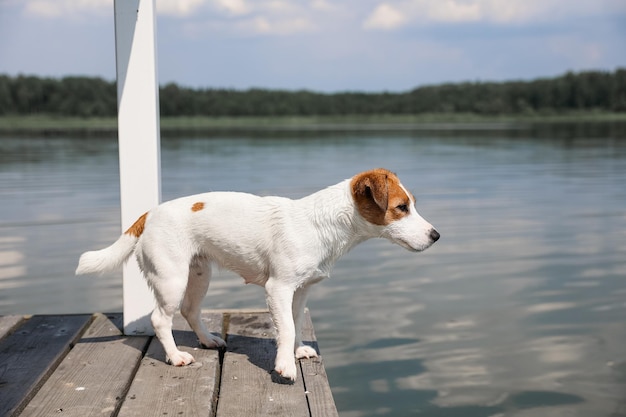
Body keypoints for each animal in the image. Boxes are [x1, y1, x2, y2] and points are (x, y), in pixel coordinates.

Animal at [77, 168, 438, 380]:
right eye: (402, 208)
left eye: (411, 205)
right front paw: (285, 365)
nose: (436, 236)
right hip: (171, 279)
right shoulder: (279, 288)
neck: (324, 225)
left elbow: (294, 324)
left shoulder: (301, 290)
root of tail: (148, 214)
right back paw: (176, 356)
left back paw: (207, 341)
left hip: (199, 275)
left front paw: (296, 351)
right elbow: (286, 328)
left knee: (190, 311)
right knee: (160, 319)